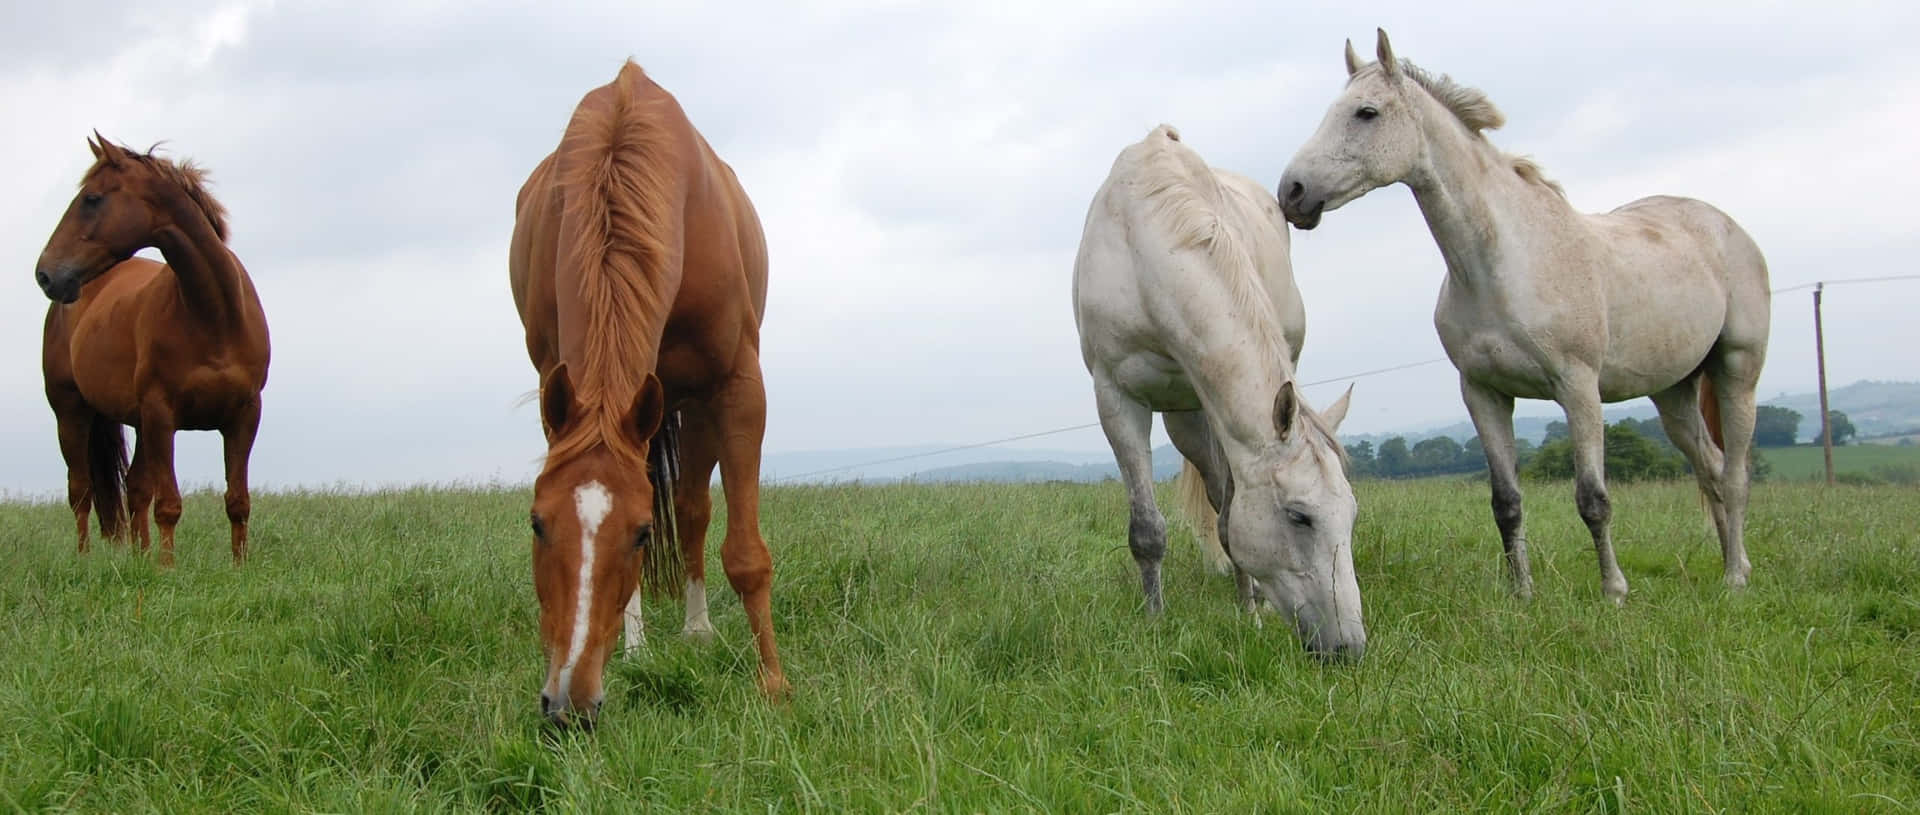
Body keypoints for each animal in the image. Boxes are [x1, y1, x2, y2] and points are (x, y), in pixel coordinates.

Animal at [35, 135, 271, 567]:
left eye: (92, 198)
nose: (45, 274)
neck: (213, 315)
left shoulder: (245, 415)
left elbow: (237, 501)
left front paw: (239, 566)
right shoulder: (162, 415)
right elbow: (169, 505)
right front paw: (167, 568)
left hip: (139, 422)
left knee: (134, 487)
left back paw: (139, 555)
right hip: (71, 411)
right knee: (81, 491)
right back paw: (85, 559)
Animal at [509, 61, 785, 726]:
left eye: (637, 533)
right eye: (536, 523)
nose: (568, 705)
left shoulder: (736, 387)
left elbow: (744, 552)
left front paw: (773, 684)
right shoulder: (559, 382)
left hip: (689, 404)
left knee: (691, 509)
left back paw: (697, 630)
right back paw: (636, 645)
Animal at [1073, 124, 1365, 660]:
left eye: (1351, 515)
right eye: (1299, 516)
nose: (1350, 647)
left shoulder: (1217, 407)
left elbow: (1230, 519)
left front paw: (1250, 613)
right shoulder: (1116, 398)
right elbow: (1147, 530)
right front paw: (1155, 622)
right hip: (1183, 417)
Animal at [1277, 30, 1770, 602]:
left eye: (1366, 112)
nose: (1292, 192)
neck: (1506, 262)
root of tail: (1725, 227)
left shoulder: (1579, 390)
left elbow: (1593, 499)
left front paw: (1614, 591)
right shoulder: (1484, 394)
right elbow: (1506, 502)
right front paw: (1522, 594)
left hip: (1737, 371)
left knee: (1734, 475)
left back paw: (1735, 576)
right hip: (1673, 392)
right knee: (1709, 469)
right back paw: (1732, 564)